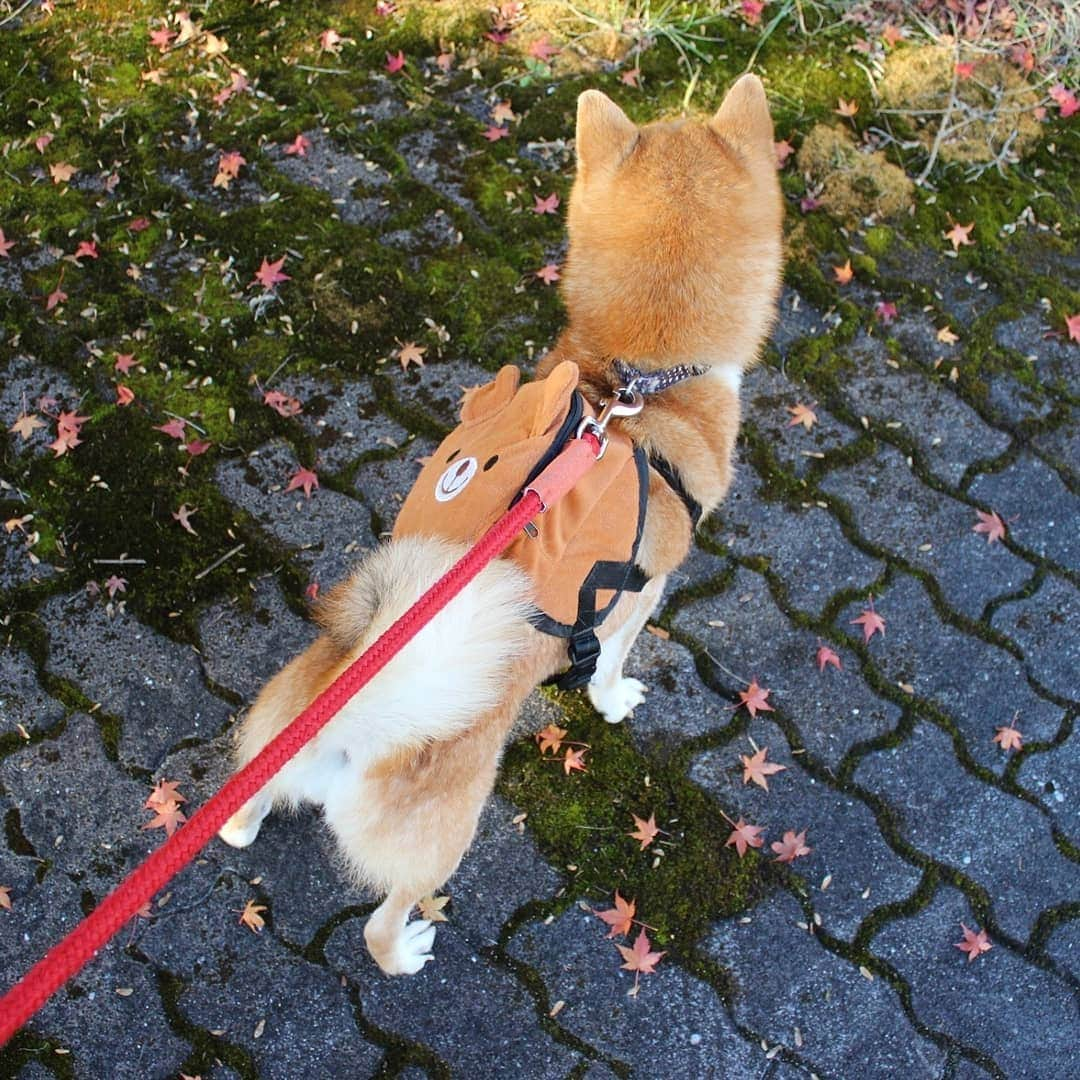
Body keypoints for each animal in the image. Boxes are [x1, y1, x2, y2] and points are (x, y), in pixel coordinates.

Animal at [214, 71, 781, 976]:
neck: (634, 384)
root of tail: (354, 720)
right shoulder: (643, 594)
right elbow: (610, 665)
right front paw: (613, 699)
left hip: (269, 744)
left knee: (241, 815)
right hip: (446, 839)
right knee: (380, 923)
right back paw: (405, 949)